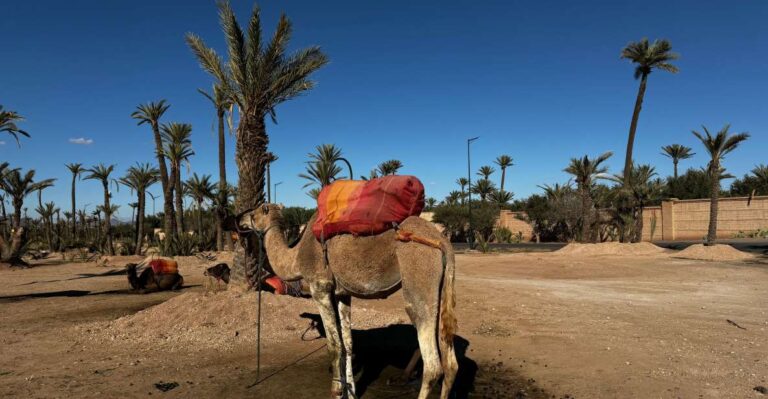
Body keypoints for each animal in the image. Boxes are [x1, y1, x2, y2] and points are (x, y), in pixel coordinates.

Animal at [228, 206, 456, 399]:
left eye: (254, 213)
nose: (238, 218)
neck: (296, 257)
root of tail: (442, 240)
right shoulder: (342, 295)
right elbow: (348, 344)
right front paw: (350, 392)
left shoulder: (320, 288)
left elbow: (334, 346)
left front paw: (336, 392)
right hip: (442, 287)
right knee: (450, 364)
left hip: (419, 275)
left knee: (433, 365)